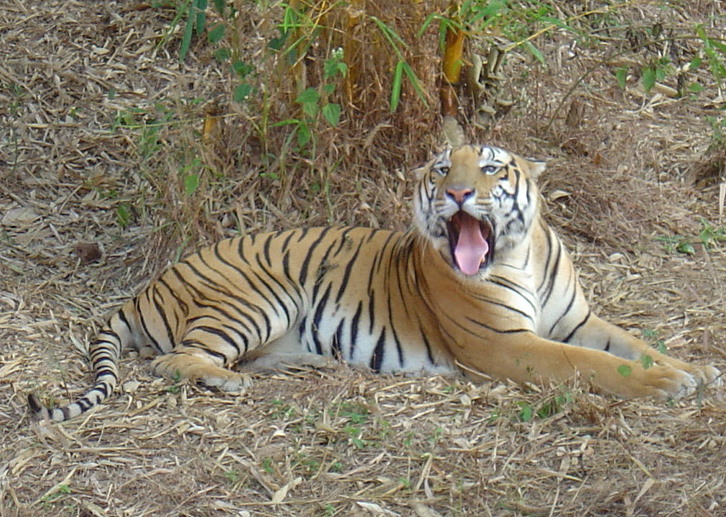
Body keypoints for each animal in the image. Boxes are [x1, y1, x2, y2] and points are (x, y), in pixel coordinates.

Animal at [29, 144, 721, 422]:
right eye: (442, 168)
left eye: (491, 168)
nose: (456, 193)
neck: (517, 254)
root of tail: (147, 286)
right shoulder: (506, 345)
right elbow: (593, 364)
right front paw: (668, 384)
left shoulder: (578, 319)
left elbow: (634, 346)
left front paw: (695, 368)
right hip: (257, 297)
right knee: (172, 361)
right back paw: (228, 381)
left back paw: (302, 365)